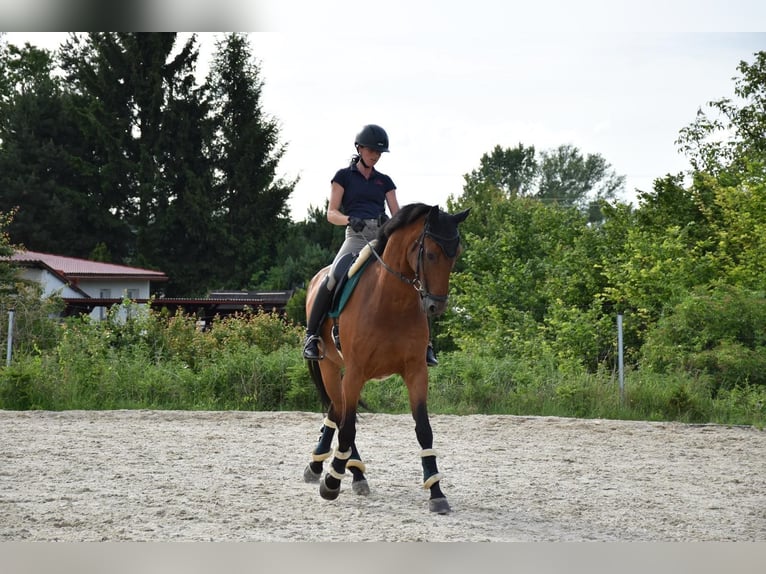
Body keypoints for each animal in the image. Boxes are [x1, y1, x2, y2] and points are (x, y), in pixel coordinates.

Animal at [304, 204, 472, 516]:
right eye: (431, 254)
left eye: (456, 253)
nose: (436, 306)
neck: (392, 301)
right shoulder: (355, 372)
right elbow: (348, 429)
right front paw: (331, 483)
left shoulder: (416, 371)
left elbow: (424, 430)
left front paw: (436, 492)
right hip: (329, 365)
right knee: (340, 414)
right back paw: (336, 468)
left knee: (336, 409)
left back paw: (336, 468)